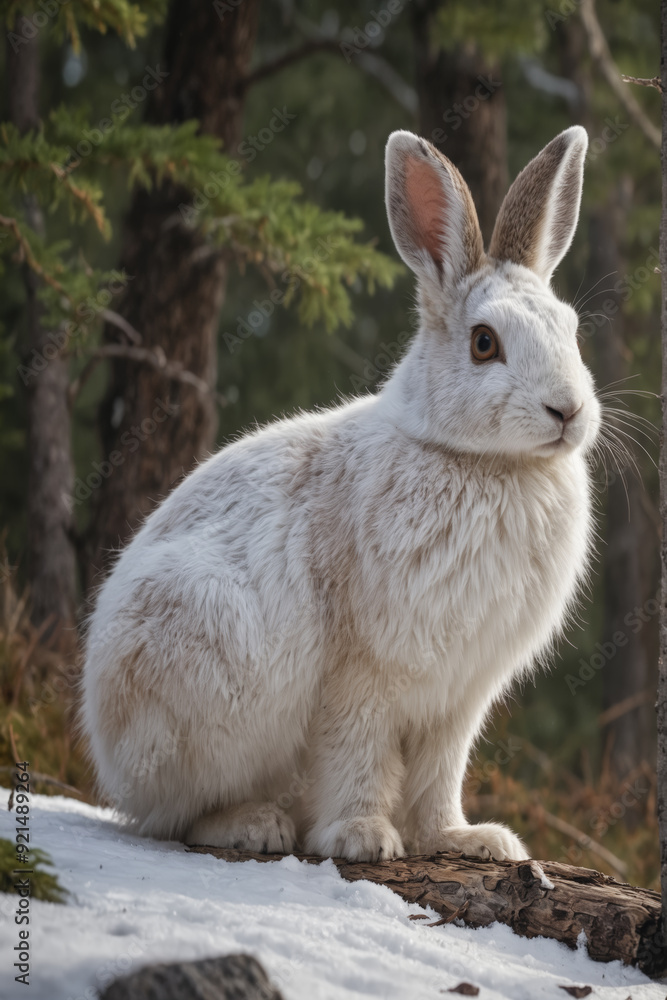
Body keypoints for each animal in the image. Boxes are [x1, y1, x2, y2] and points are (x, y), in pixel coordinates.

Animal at [81, 125, 599, 863]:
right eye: (483, 343)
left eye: (571, 329)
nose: (567, 411)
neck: (484, 463)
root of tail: (108, 751)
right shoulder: (361, 675)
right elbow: (357, 751)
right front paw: (362, 838)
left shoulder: (457, 699)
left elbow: (439, 775)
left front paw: (464, 839)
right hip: (203, 680)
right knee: (173, 816)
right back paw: (255, 826)